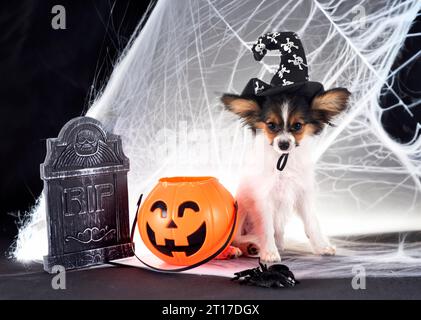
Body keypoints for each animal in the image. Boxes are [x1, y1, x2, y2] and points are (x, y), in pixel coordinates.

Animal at [220, 87, 348, 260]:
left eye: (298, 126)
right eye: (271, 125)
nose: (283, 144)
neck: (284, 161)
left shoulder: (303, 194)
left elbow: (312, 223)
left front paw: (322, 247)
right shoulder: (263, 198)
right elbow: (266, 228)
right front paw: (269, 252)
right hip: (241, 208)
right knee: (238, 238)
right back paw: (248, 246)